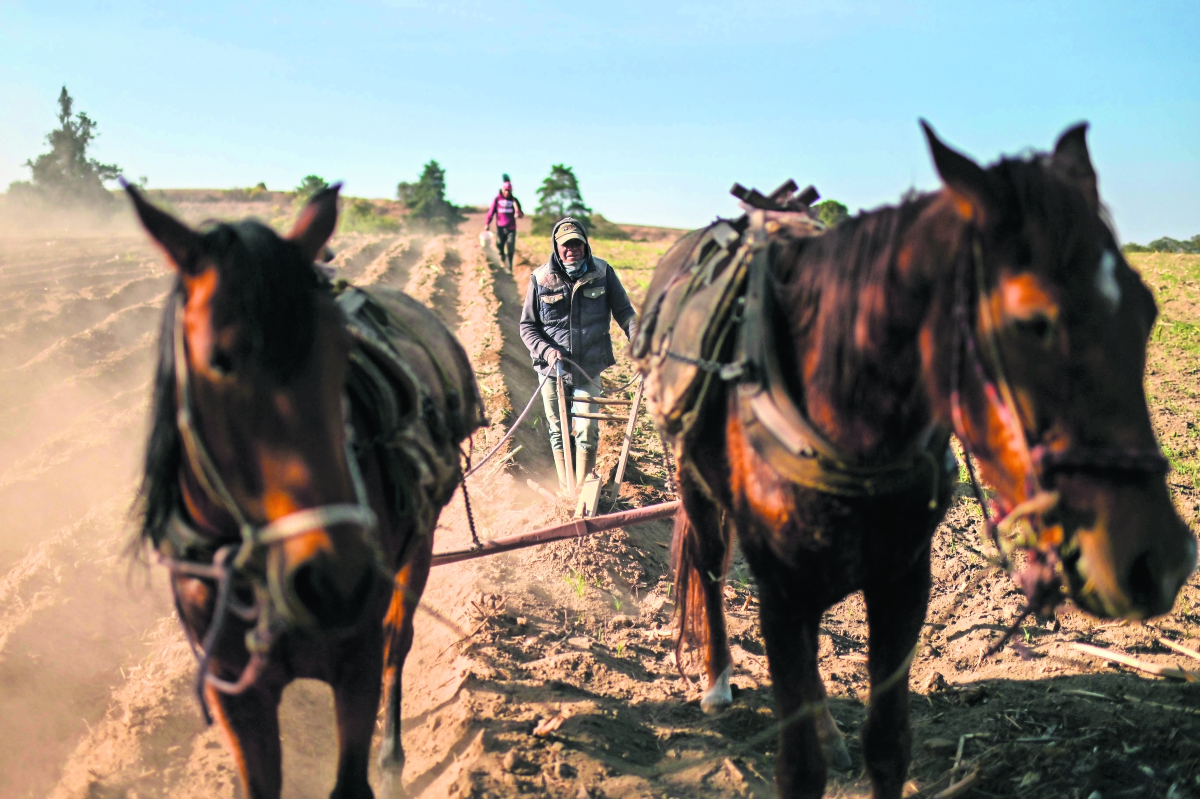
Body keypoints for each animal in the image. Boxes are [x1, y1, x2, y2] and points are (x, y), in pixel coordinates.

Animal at [129, 184, 484, 796]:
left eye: (341, 354)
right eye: (218, 361)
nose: (337, 580)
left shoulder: (355, 663)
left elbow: (352, 774)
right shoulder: (234, 690)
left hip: (418, 546)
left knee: (399, 638)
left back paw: (393, 755)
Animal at [633, 121, 1195, 791]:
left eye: (1146, 310)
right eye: (1031, 322)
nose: (1158, 561)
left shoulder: (904, 583)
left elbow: (887, 745)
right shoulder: (782, 593)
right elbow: (800, 767)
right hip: (694, 482)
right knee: (711, 565)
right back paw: (718, 680)